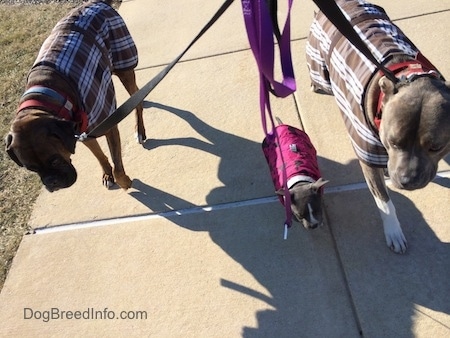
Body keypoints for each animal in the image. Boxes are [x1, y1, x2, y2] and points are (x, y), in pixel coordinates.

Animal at [5, 0, 144, 193]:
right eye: (31, 168)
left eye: (55, 160)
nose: (51, 182)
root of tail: (96, 2)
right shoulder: (82, 133)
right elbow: (99, 155)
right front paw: (106, 173)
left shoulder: (108, 128)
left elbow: (117, 166)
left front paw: (124, 181)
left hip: (124, 63)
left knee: (137, 99)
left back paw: (140, 129)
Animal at [306, 0, 450, 252]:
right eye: (392, 141)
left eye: (436, 147)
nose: (407, 181)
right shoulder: (368, 156)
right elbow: (384, 202)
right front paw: (393, 231)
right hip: (318, 65)